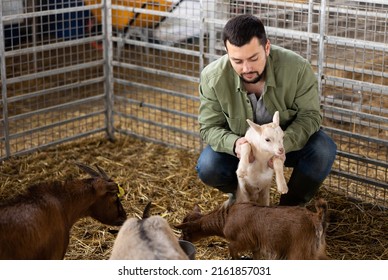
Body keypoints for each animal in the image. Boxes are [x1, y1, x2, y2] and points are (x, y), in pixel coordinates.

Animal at [176, 199, 328, 260]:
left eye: (186, 231)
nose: (180, 240)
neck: (226, 219)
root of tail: (316, 217)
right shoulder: (256, 245)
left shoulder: (243, 241)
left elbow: (231, 249)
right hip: (316, 251)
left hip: (299, 252)